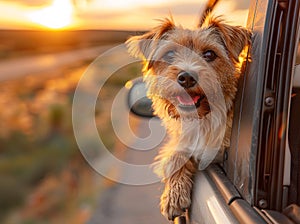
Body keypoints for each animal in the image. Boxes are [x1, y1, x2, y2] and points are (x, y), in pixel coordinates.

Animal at [126, 15, 251, 220]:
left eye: (209, 54)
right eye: (169, 54)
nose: (186, 77)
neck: (202, 119)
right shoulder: (183, 140)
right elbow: (176, 155)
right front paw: (173, 194)